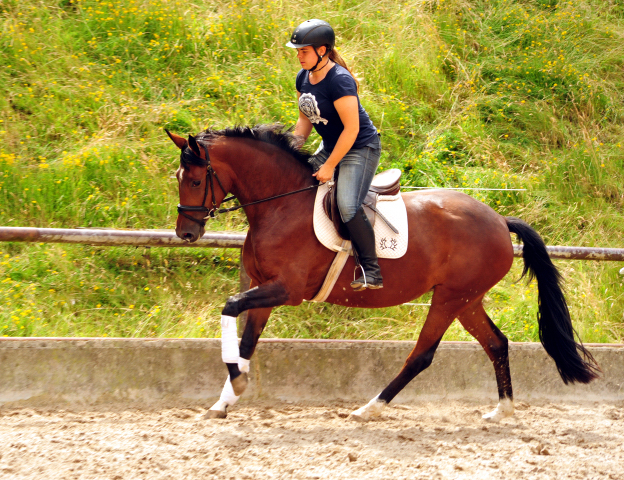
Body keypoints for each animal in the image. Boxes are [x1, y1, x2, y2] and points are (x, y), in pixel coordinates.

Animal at [166, 124, 600, 424]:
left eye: (195, 179)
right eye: (180, 179)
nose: (186, 233)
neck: (280, 205)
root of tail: (498, 219)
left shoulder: (284, 289)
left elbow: (229, 308)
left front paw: (237, 383)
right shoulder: (263, 291)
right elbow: (245, 341)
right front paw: (224, 400)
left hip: (450, 298)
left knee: (421, 355)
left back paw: (369, 409)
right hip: (467, 300)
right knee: (497, 344)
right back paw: (503, 410)